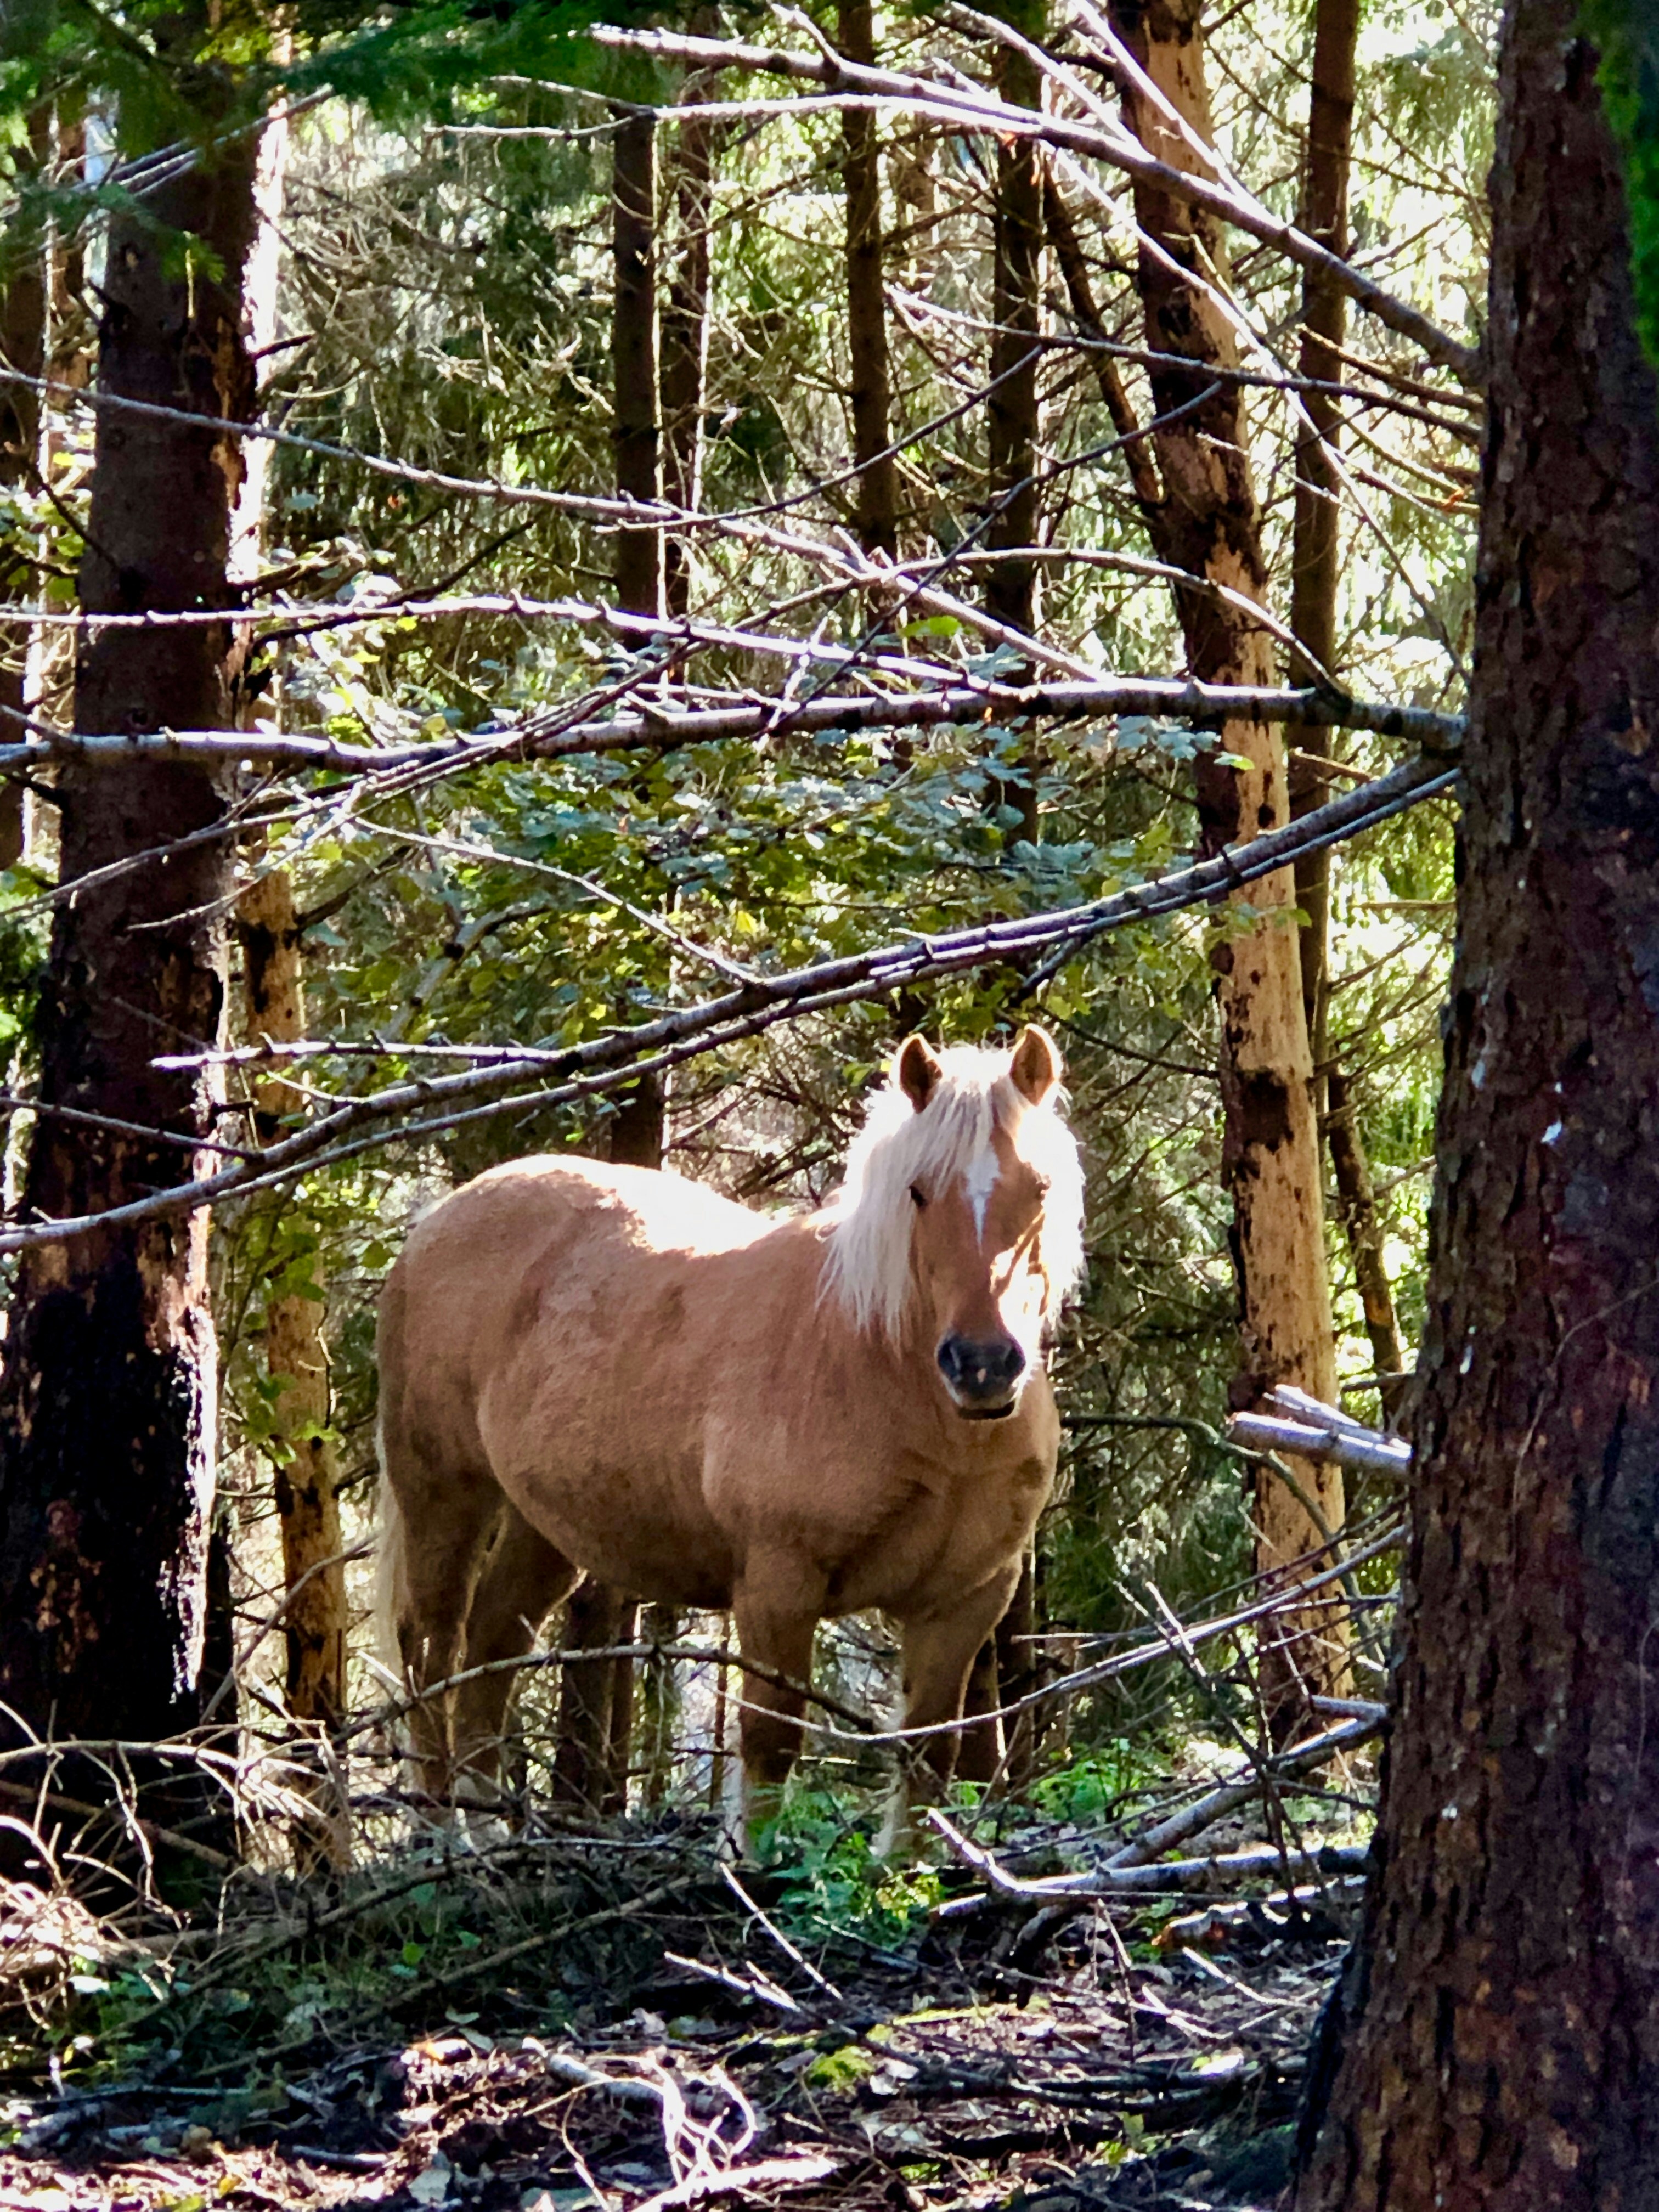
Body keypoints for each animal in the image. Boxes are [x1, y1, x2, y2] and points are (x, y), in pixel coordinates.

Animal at [376, 1024, 1086, 1842]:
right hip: (444, 1492)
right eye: (917, 1191)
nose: (982, 1366)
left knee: (494, 1642)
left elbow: (928, 1753)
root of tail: (435, 1224)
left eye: (1040, 1189)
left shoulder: (966, 1600)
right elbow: (771, 1743)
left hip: (543, 1525)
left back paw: (486, 1829)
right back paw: (440, 1834)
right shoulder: (778, 1584)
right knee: (432, 1644)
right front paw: (755, 1859)